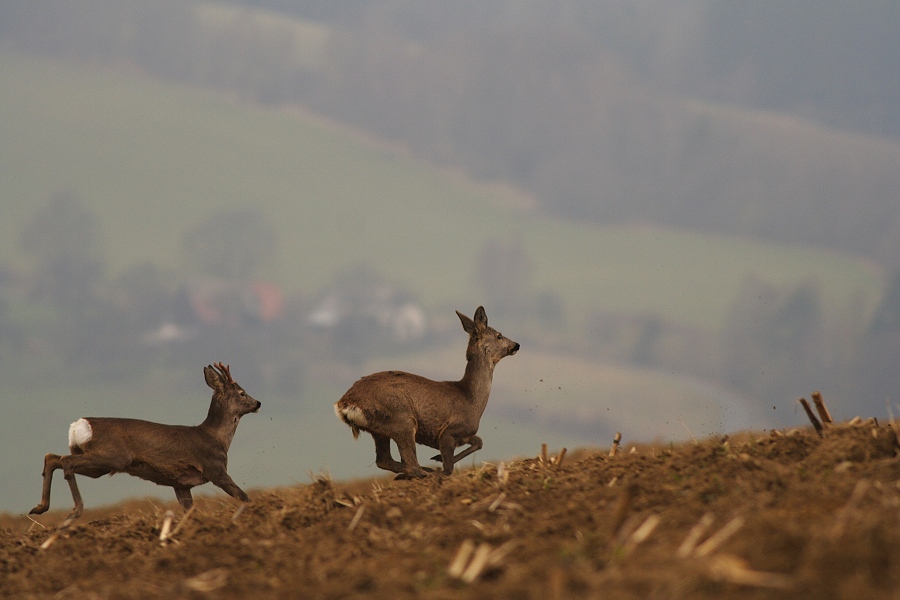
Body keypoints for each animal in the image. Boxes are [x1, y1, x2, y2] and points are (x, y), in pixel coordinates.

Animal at [29, 362, 260, 523]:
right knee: (66, 461)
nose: (258, 403)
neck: (215, 438)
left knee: (53, 457)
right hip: (112, 457)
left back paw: (40, 507)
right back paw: (74, 512)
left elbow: (191, 511)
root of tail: (78, 425)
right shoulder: (216, 470)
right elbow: (244, 496)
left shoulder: (180, 484)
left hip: (96, 463)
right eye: (242, 393)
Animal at [335, 306, 519, 479]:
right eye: (499, 335)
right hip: (402, 419)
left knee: (385, 460)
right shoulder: (448, 432)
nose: (516, 345)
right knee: (410, 465)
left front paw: (436, 458)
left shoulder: (466, 433)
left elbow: (479, 442)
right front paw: (439, 462)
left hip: (379, 430)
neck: (471, 398)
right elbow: (449, 468)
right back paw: (423, 474)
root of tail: (344, 404)